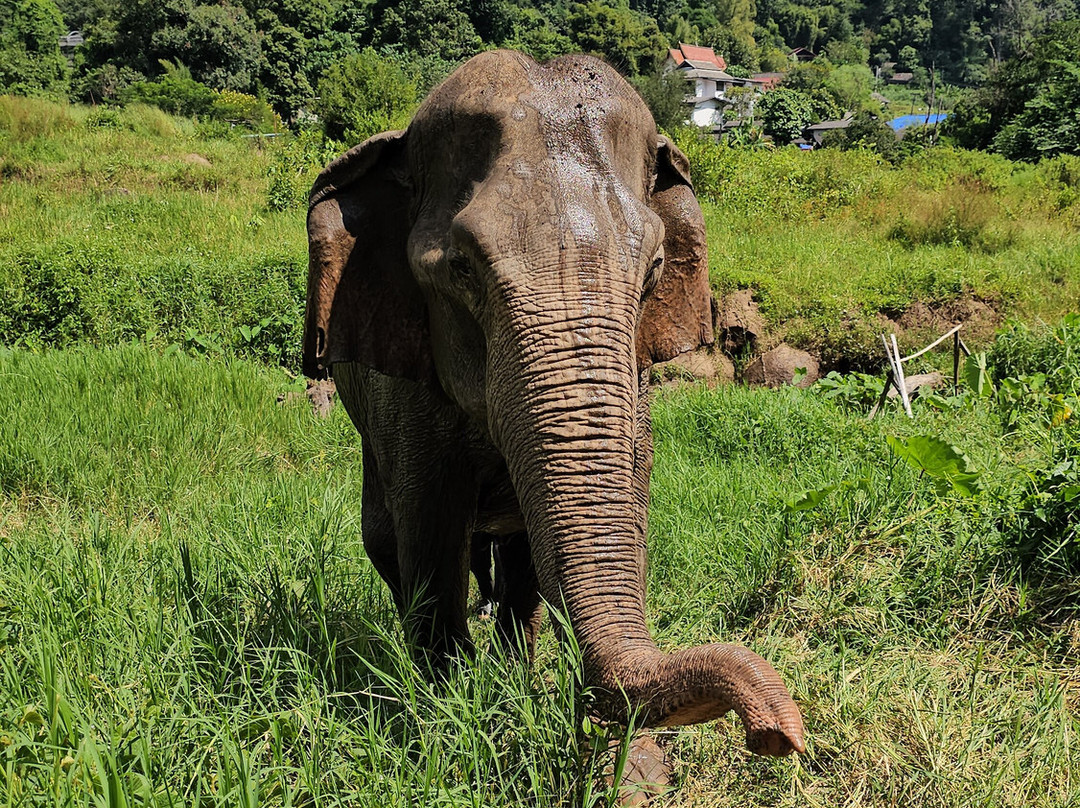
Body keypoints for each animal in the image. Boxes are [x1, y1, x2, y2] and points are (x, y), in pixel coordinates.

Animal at [302, 49, 805, 759]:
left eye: (653, 269)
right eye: (461, 269)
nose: (778, 734)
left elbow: (616, 512)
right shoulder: (405, 390)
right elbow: (428, 530)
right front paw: (448, 716)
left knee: (515, 561)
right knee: (387, 536)